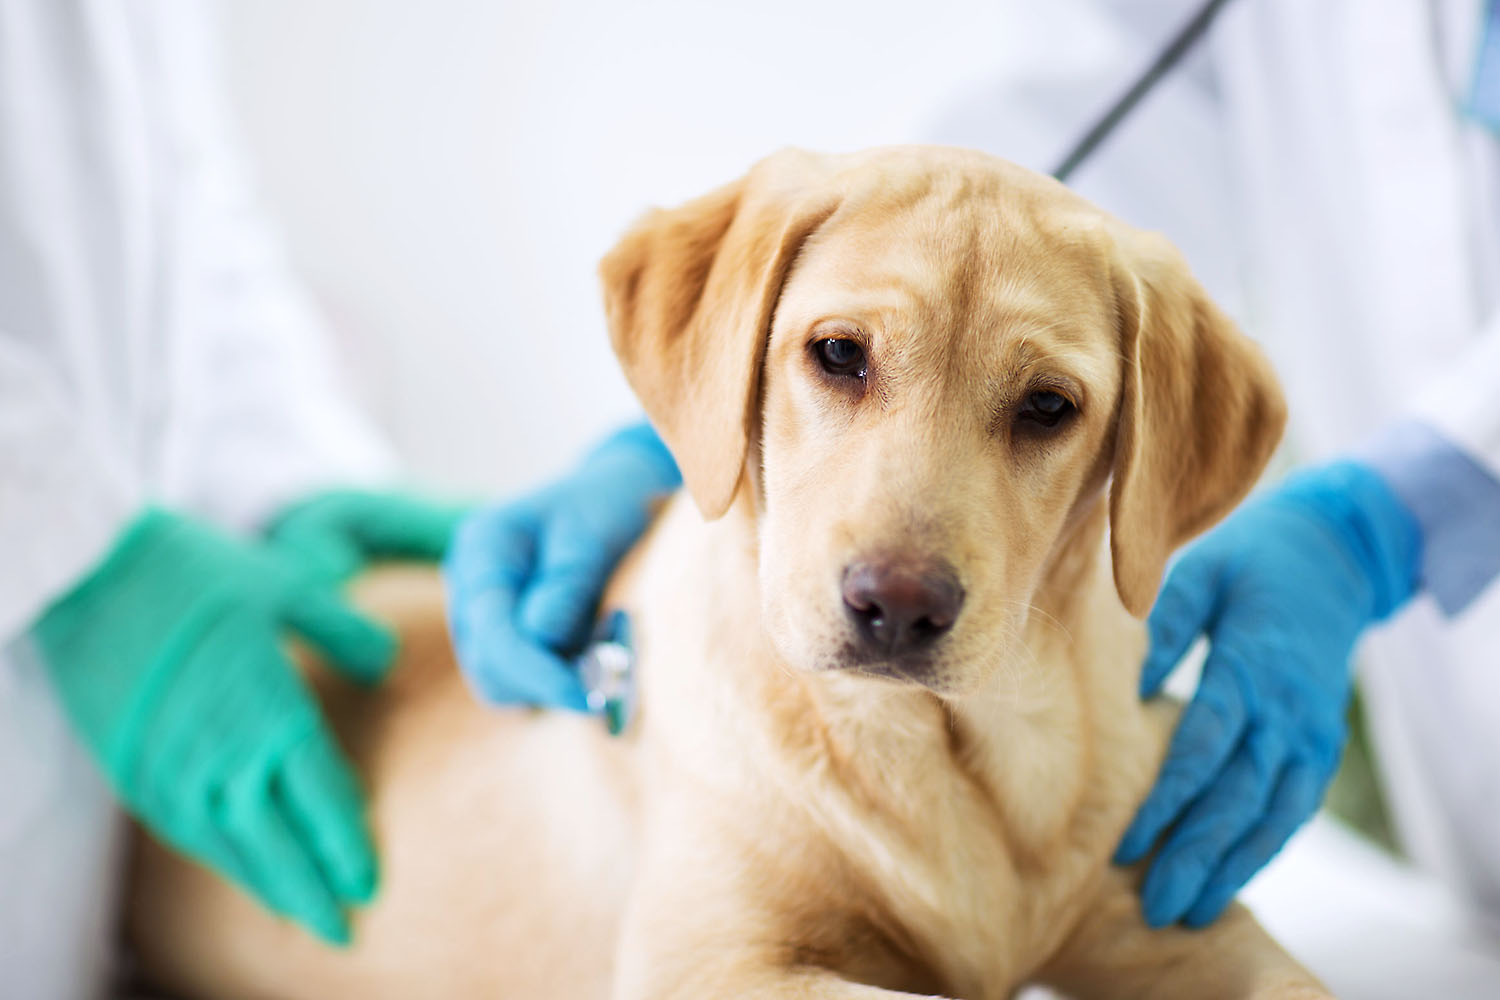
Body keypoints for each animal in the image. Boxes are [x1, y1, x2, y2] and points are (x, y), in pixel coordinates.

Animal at [126, 148, 1326, 1000]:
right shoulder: (709, 961)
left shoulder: (1171, 912)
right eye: (838, 353)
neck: (949, 753)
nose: (897, 607)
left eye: (1048, 407)